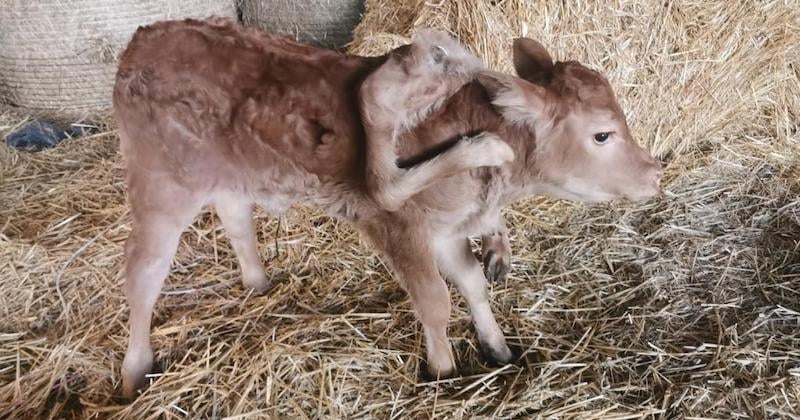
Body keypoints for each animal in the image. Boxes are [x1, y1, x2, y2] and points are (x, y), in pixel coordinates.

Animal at [112, 16, 664, 398]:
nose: (654, 173)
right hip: (163, 184)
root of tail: (143, 36)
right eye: (602, 135)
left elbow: (472, 285)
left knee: (234, 216)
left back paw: (258, 284)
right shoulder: (402, 228)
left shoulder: (447, 230)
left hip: (227, 172)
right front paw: (442, 372)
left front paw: (498, 349)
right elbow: (435, 301)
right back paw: (135, 371)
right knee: (143, 271)